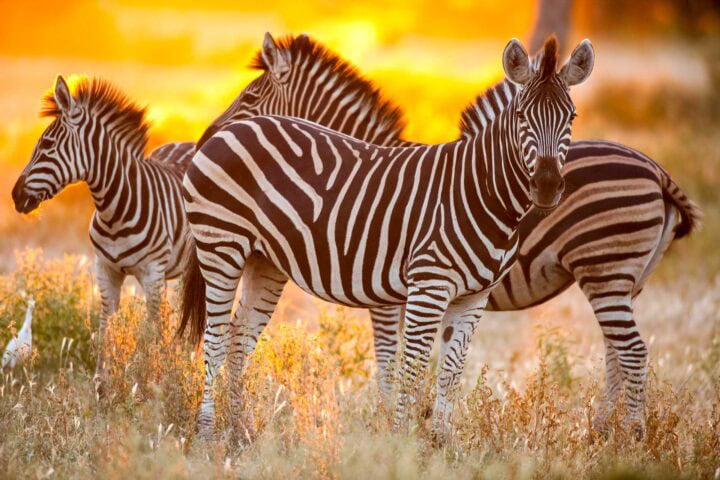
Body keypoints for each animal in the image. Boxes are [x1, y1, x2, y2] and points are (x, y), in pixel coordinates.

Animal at [11, 77, 193, 383]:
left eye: (47, 144)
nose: (15, 195)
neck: (115, 209)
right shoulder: (106, 270)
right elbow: (105, 330)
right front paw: (104, 386)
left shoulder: (152, 273)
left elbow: (150, 333)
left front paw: (150, 381)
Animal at [179, 37, 595, 440]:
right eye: (522, 116)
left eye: (572, 117)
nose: (547, 186)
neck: (480, 191)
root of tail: (230, 133)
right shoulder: (425, 287)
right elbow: (405, 368)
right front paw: (399, 440)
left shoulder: (474, 297)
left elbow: (450, 370)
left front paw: (439, 444)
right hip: (223, 245)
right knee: (216, 339)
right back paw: (208, 434)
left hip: (263, 260)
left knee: (239, 339)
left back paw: (240, 430)